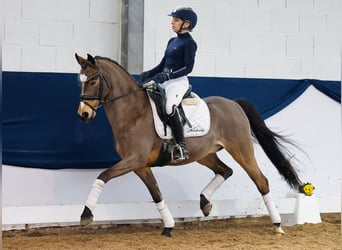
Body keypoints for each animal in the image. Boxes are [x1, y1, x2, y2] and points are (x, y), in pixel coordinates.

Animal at [73, 52, 300, 236]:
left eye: (92, 81)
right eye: (79, 82)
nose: (83, 114)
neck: (133, 113)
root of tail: (234, 104)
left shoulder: (134, 160)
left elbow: (102, 176)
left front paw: (86, 215)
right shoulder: (140, 165)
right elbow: (156, 194)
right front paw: (168, 226)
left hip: (242, 150)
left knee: (261, 181)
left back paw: (277, 225)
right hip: (205, 154)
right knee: (225, 171)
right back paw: (205, 203)